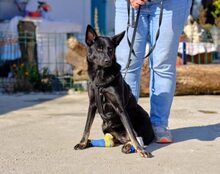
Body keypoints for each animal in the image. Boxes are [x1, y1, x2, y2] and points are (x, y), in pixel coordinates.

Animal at [75, 24, 154, 158]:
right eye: (99, 49)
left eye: (110, 49)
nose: (108, 61)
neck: (100, 77)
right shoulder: (92, 105)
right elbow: (86, 127)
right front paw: (82, 143)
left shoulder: (120, 107)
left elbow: (131, 132)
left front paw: (140, 150)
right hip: (105, 125)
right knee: (115, 139)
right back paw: (91, 142)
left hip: (140, 115)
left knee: (136, 136)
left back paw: (129, 146)